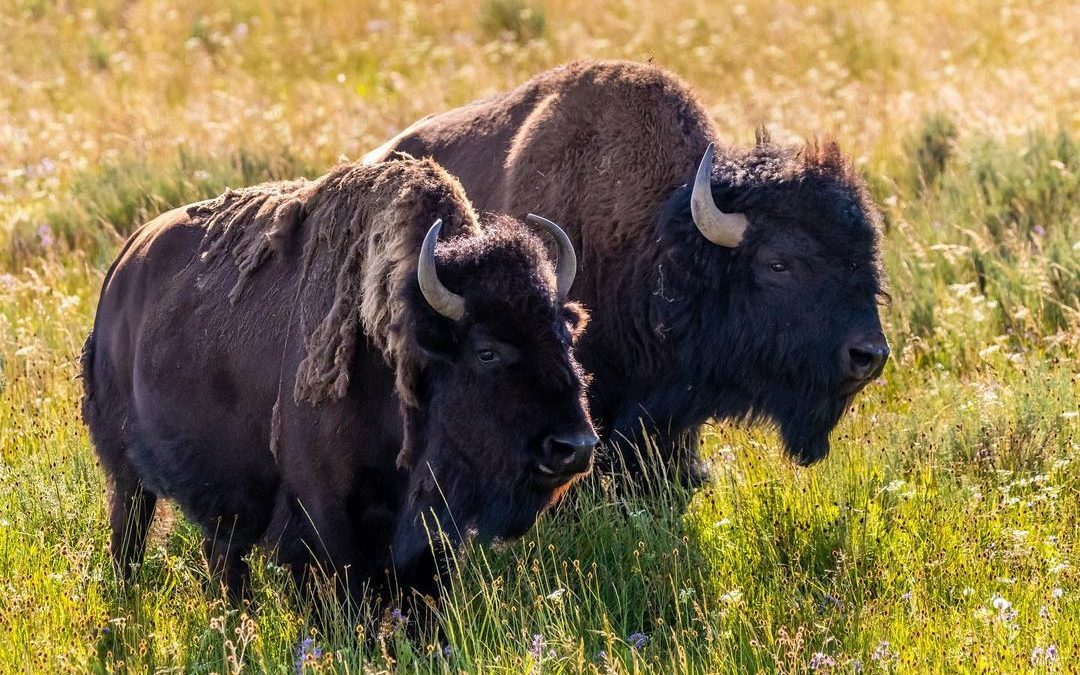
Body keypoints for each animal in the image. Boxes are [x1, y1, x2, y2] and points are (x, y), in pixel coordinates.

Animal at [79, 158, 596, 600]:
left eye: (566, 338)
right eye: (486, 351)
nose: (575, 447)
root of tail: (120, 272)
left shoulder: (425, 535)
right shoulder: (327, 516)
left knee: (222, 553)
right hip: (126, 474)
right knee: (129, 538)